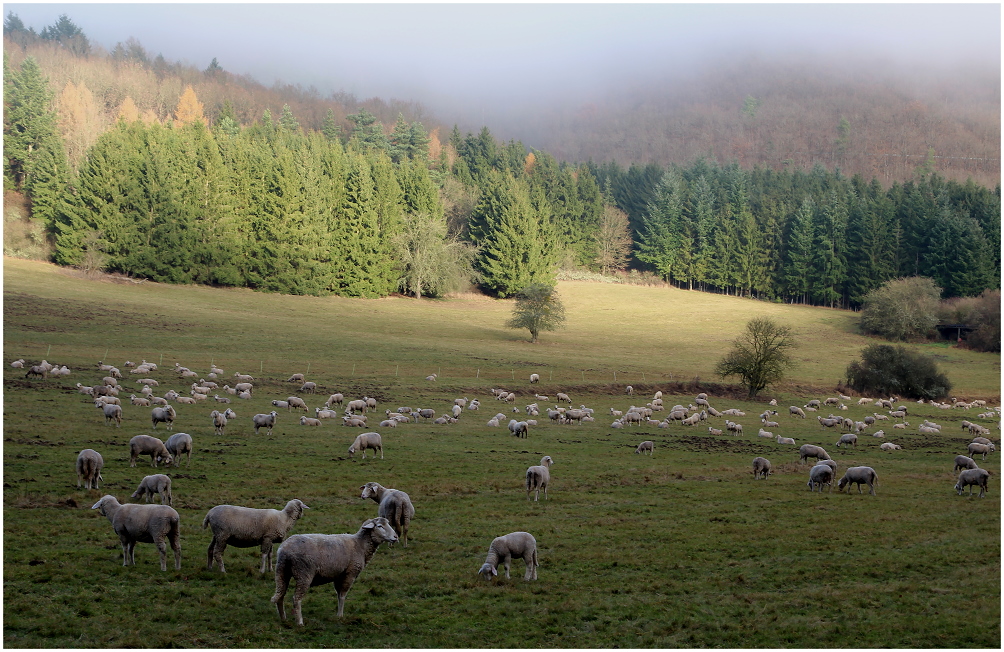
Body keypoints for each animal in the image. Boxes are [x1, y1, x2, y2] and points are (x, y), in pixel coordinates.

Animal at [273, 514, 401, 622]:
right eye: (380, 526)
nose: (396, 537)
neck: (360, 545)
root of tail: (285, 550)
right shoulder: (350, 573)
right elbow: (343, 595)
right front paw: (340, 616)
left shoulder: (338, 575)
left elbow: (338, 594)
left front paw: (338, 613)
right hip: (304, 574)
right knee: (296, 598)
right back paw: (299, 622)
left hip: (281, 571)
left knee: (280, 595)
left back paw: (283, 618)